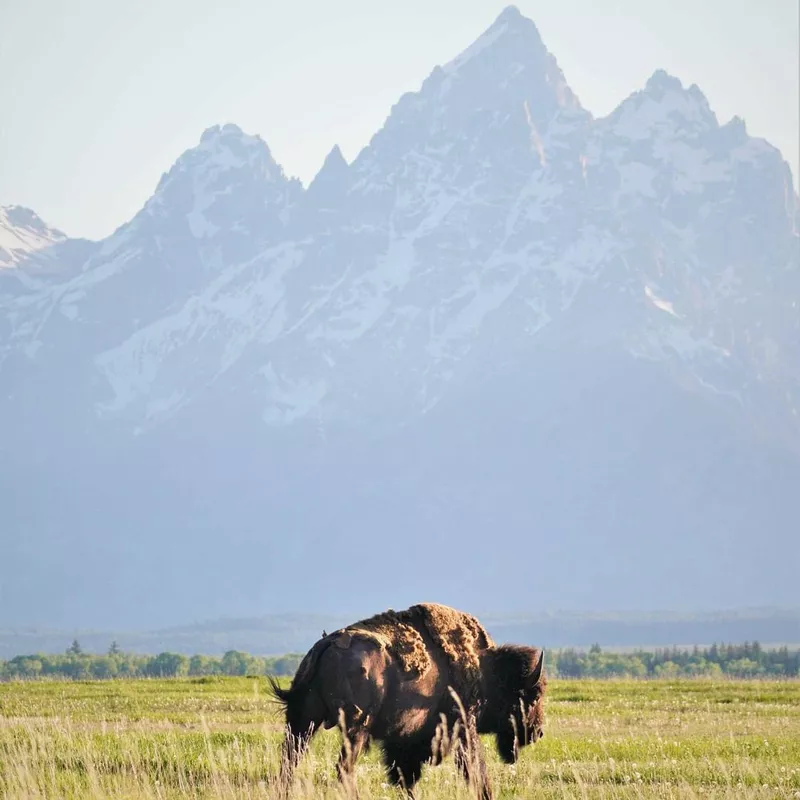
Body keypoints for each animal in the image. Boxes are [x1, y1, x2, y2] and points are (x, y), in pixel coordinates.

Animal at [268, 604, 544, 796]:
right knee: (343, 769)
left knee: (289, 763)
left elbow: (405, 777)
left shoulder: (404, 743)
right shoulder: (463, 728)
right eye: (533, 696)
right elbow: (475, 770)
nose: (538, 732)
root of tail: (326, 643)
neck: (485, 668)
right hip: (355, 728)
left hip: (303, 723)